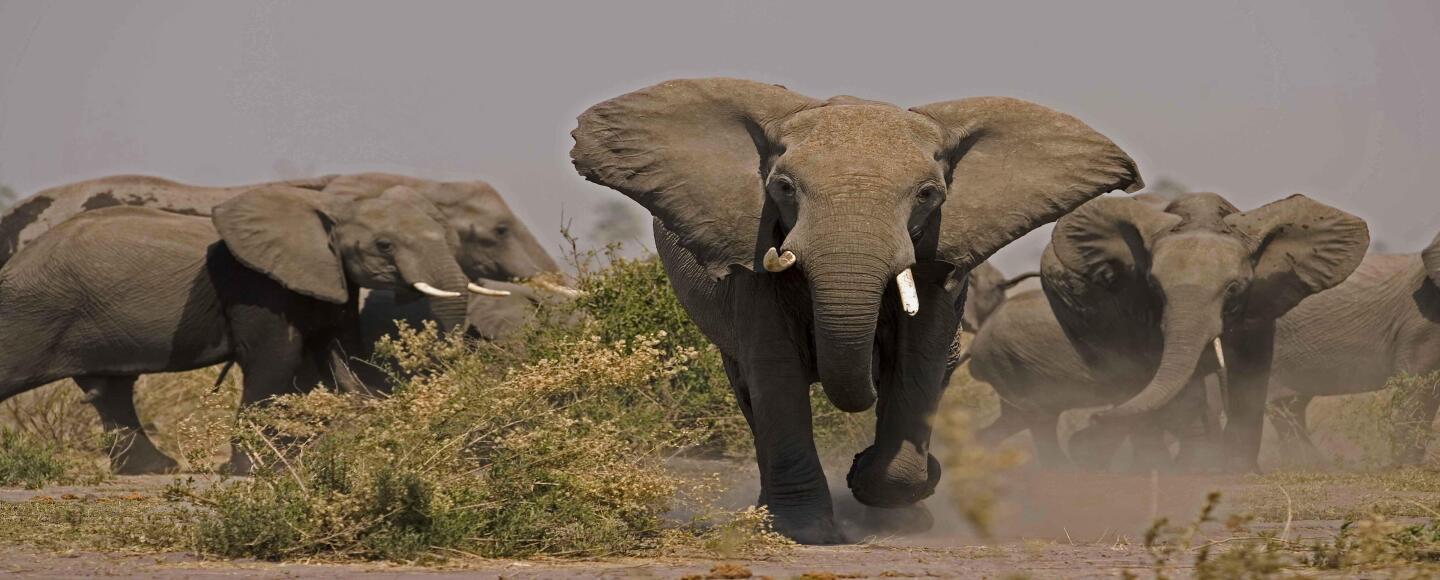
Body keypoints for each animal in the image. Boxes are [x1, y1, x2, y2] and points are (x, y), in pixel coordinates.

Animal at [0, 185, 485, 474]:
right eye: (384, 245)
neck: (326, 208)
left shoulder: (329, 281)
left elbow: (338, 359)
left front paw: (298, 460)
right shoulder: (257, 286)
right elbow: (275, 362)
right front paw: (256, 471)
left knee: (112, 390)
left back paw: (157, 470)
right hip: (32, 311)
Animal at [570, 78, 1143, 543]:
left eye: (928, 194)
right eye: (783, 188)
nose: (856, 460)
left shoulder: (939, 258)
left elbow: (919, 364)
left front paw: (892, 500)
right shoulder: (753, 256)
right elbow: (775, 370)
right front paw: (808, 532)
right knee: (749, 391)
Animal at [967, 192, 1369, 472]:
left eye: (1234, 289)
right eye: (1155, 287)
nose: (1091, 425)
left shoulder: (1262, 300)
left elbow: (1250, 372)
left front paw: (1237, 469)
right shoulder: (1135, 306)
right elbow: (1172, 382)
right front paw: (1197, 467)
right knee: (1115, 383)